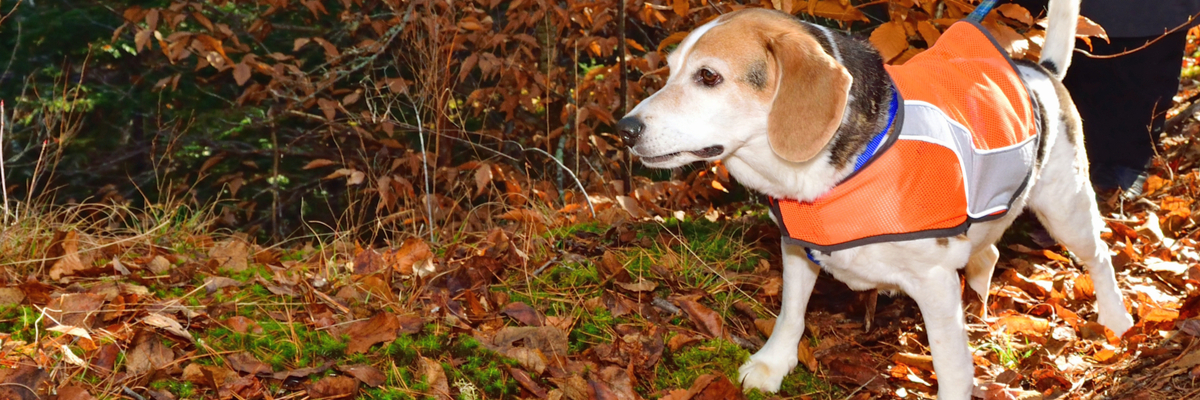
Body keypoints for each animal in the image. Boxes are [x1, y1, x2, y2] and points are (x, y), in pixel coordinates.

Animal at [619, 1, 1132, 396]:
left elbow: (950, 365)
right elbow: (790, 315)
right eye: (670, 72)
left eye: (708, 76)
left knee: (1100, 256)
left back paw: (1118, 321)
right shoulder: (797, 249)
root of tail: (1039, 70)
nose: (625, 129)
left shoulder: (933, 282)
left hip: (1066, 208)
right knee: (989, 252)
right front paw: (772, 365)